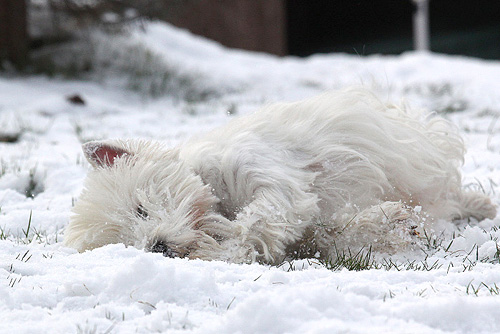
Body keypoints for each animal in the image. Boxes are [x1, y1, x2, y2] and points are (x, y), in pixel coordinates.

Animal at [63, 88, 496, 264]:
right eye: (124, 243)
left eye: (139, 208)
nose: (157, 246)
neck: (219, 200)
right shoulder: (311, 226)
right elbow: (334, 233)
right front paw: (393, 223)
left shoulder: (274, 179)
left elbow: (256, 222)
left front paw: (220, 248)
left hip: (420, 158)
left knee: (450, 193)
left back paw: (482, 208)